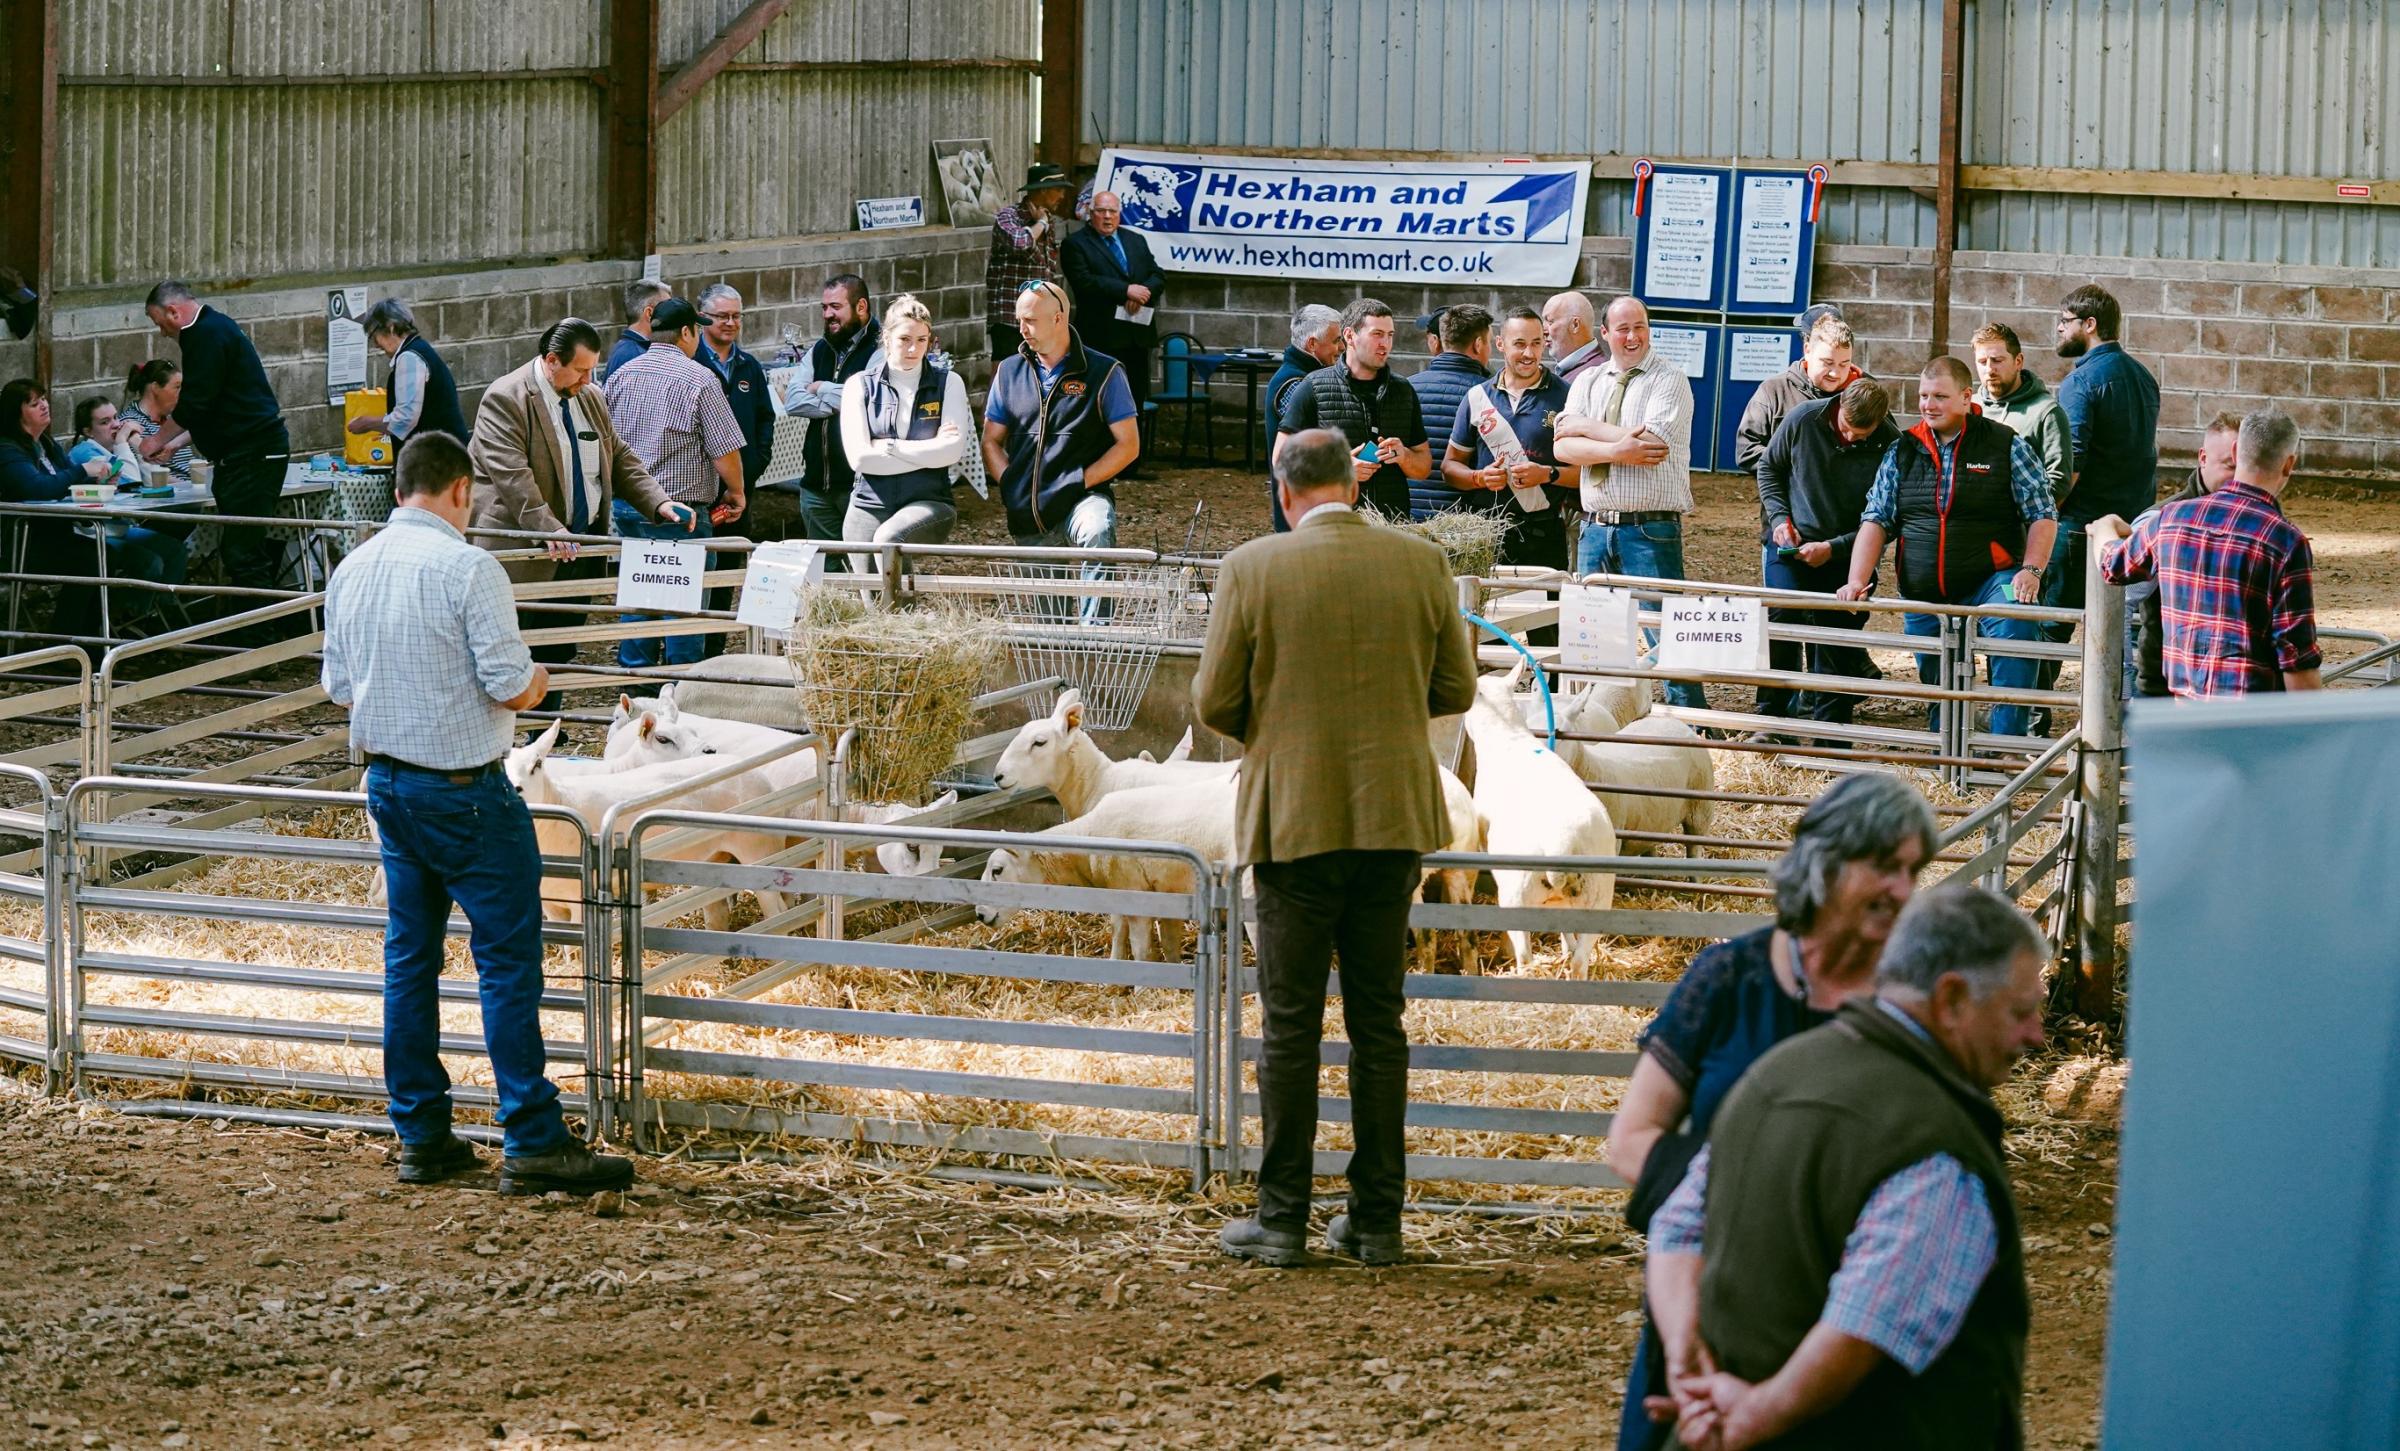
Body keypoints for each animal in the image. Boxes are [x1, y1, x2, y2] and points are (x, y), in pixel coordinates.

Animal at [1459, 671, 1612, 968]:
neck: (1508, 736)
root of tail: (1561, 844)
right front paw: (1566, 947)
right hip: (1598, 896)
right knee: (1580, 959)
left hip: (1519, 893)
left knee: (1525, 957)